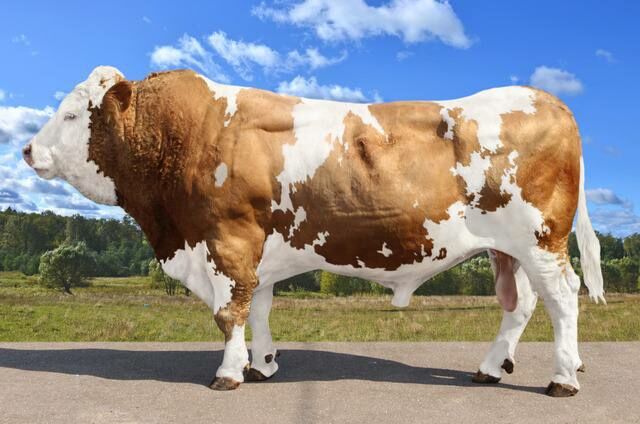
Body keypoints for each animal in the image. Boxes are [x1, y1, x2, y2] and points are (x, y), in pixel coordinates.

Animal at [23, 66, 605, 397]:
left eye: (72, 115)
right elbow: (257, 307)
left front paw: (229, 374)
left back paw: (563, 378)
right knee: (519, 305)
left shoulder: (228, 240)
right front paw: (264, 365)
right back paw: (491, 368)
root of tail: (549, 100)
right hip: (508, 250)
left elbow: (228, 312)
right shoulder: (254, 249)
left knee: (563, 300)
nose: (27, 149)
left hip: (541, 241)